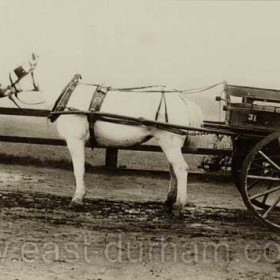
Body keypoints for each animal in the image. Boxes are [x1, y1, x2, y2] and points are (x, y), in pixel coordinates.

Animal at [55, 81, 203, 214]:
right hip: (171, 145)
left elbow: (78, 170)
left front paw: (77, 198)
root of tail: (182, 99)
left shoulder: (75, 140)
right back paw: (169, 200)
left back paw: (179, 204)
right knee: (173, 169)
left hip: (169, 143)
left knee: (181, 169)